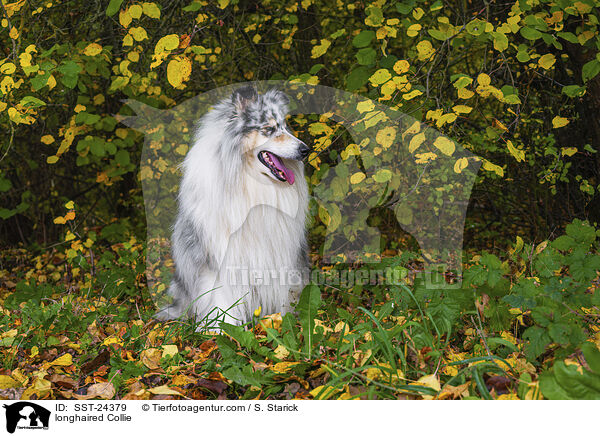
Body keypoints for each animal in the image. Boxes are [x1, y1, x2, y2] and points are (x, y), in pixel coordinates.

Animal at [156, 87, 310, 328]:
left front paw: (283, 320)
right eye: (269, 129)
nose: (306, 150)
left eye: (285, 127)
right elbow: (220, 296)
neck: (249, 178)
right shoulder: (219, 256)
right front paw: (219, 327)